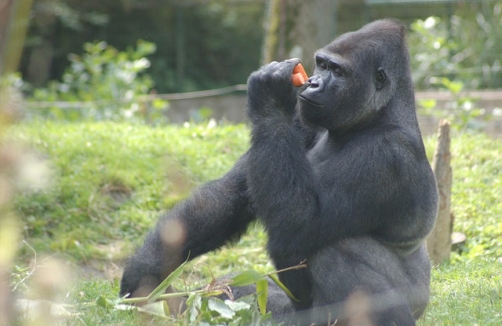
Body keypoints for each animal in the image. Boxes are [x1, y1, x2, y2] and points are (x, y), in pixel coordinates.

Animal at [120, 19, 436, 324]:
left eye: (338, 71)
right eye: (321, 64)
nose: (312, 83)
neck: (376, 116)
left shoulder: (387, 155)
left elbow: (300, 221)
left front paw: (269, 93)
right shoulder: (302, 119)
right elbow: (231, 196)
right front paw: (143, 276)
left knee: (337, 251)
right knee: (235, 292)